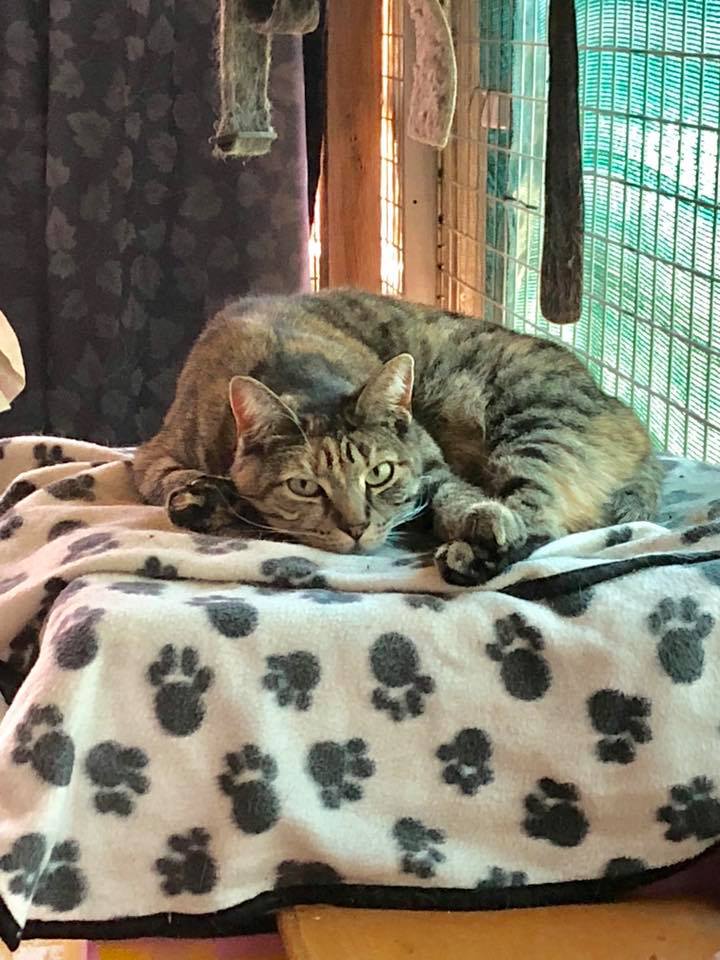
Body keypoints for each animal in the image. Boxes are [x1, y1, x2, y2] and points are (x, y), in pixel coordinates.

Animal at [133, 289, 661, 585]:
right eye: (305, 486)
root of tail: (634, 423)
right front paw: (208, 500)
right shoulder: (154, 458)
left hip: (532, 425)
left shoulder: (429, 463)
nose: (356, 526)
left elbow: (452, 494)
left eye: (379, 474)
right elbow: (175, 485)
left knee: (539, 516)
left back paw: (479, 549)